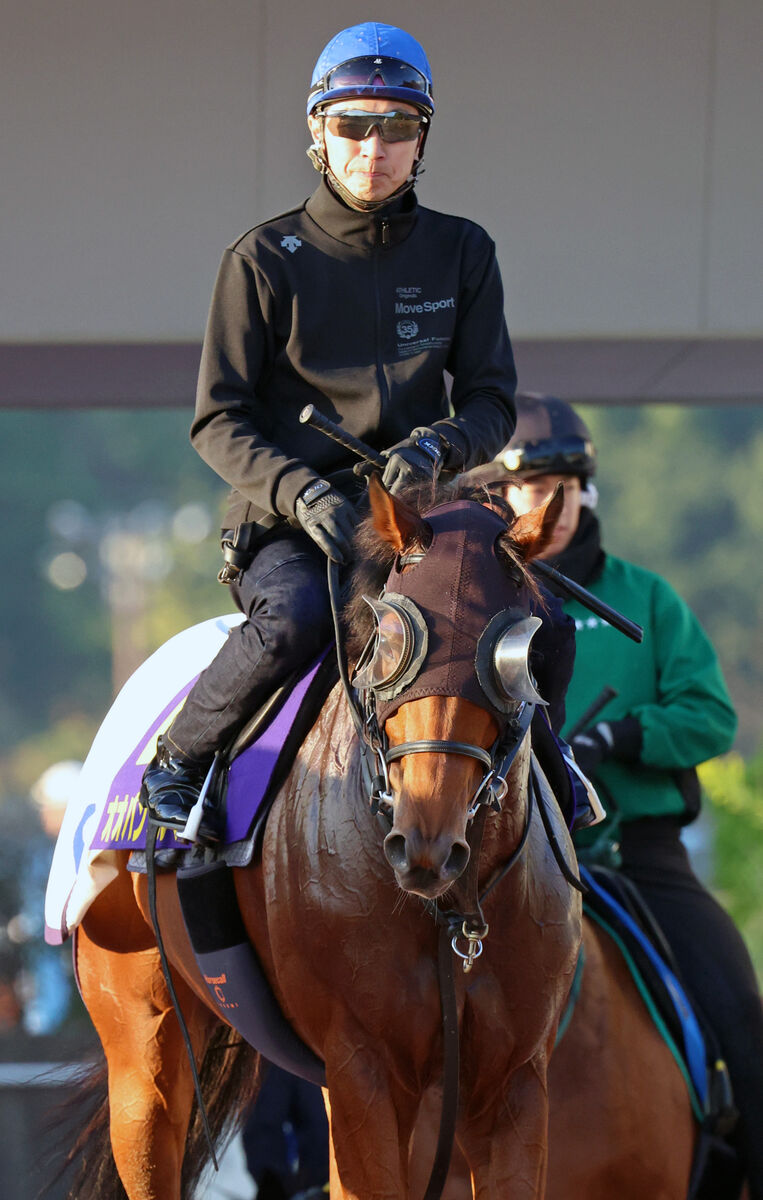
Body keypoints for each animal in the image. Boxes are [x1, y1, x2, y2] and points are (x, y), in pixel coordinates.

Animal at [68, 472, 695, 1195]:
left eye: (518, 656)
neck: (450, 911)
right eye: (387, 640)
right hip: (142, 1045)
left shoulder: (510, 1082)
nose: (424, 843)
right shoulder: (363, 1068)